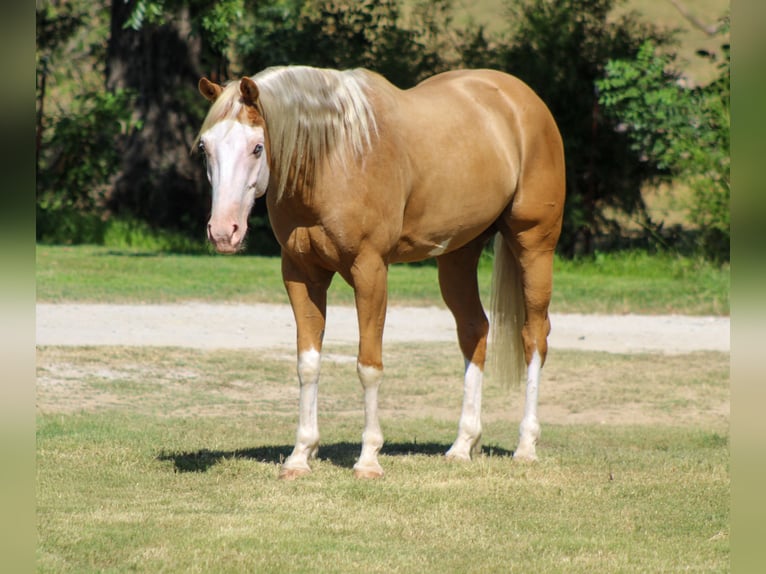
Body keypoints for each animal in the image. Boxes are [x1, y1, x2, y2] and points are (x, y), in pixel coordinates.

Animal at [195, 66, 565, 479]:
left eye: (257, 147)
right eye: (205, 147)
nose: (223, 232)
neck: (335, 158)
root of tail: (522, 99)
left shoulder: (370, 270)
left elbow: (368, 365)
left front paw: (369, 458)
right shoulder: (300, 273)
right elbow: (308, 364)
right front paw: (300, 455)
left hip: (534, 246)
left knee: (534, 336)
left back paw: (526, 445)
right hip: (458, 255)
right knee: (475, 331)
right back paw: (462, 445)